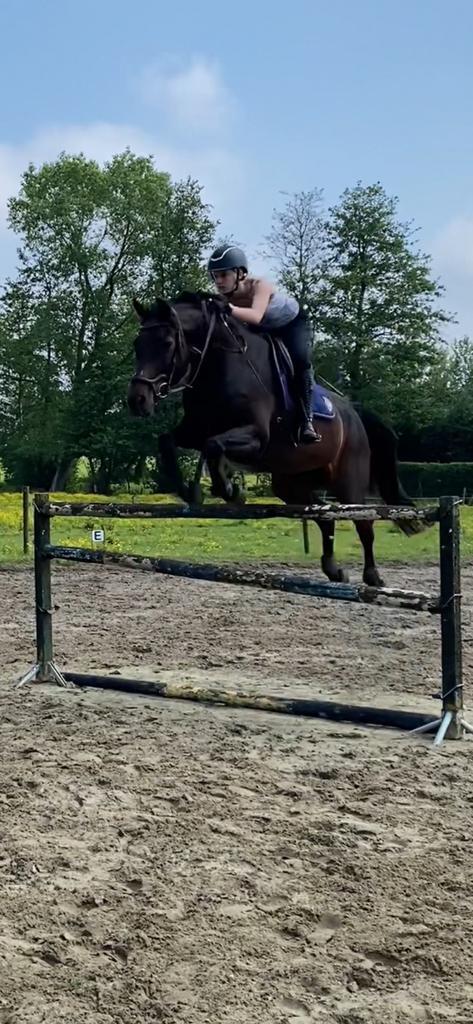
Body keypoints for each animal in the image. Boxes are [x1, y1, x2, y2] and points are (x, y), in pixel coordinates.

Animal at [127, 292, 423, 589]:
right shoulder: (193, 432)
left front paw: (231, 490)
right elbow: (168, 441)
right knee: (323, 517)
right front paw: (191, 492)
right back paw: (334, 570)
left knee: (364, 523)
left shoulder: (257, 437)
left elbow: (214, 446)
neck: (218, 365)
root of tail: (353, 411)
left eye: (166, 344)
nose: (137, 400)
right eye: (137, 344)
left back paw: (373, 576)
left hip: (348, 481)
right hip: (291, 484)